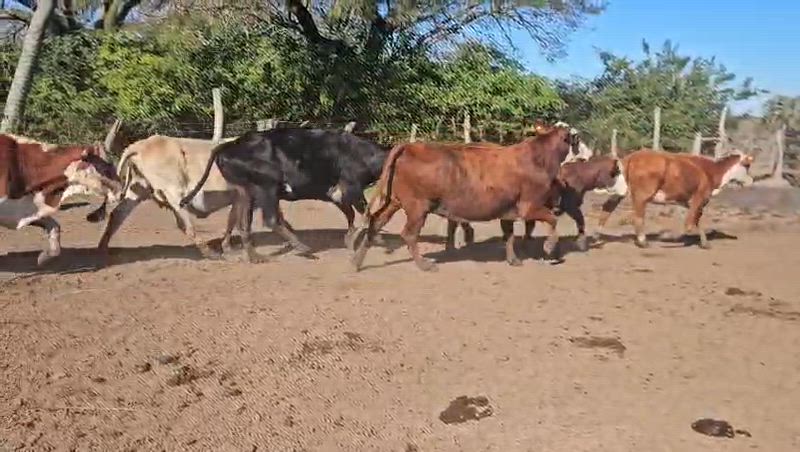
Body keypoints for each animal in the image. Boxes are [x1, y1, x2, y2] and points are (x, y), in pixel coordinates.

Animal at [178, 128, 388, 263]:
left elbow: (351, 215)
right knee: (269, 220)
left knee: (242, 222)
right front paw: (372, 238)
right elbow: (366, 213)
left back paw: (255, 257)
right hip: (267, 185)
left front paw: (352, 240)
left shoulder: (338, 195)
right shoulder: (352, 189)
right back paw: (303, 248)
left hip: (246, 191)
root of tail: (230, 145)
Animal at [351, 124, 579, 272]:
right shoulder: (530, 207)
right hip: (418, 207)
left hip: (395, 201)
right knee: (408, 234)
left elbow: (509, 237)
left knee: (375, 222)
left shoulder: (507, 211)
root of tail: (410, 146)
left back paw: (356, 262)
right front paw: (549, 247)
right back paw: (424, 265)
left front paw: (513, 260)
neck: (538, 158)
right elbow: (552, 220)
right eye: (575, 138)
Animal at [595, 148, 754, 249]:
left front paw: (705, 243)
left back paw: (596, 235)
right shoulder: (700, 197)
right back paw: (643, 241)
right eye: (747, 165)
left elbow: (698, 220)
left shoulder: (690, 202)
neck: (709, 171)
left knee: (606, 210)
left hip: (619, 193)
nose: (751, 180)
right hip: (641, 196)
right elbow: (691, 223)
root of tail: (631, 157)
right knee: (638, 217)